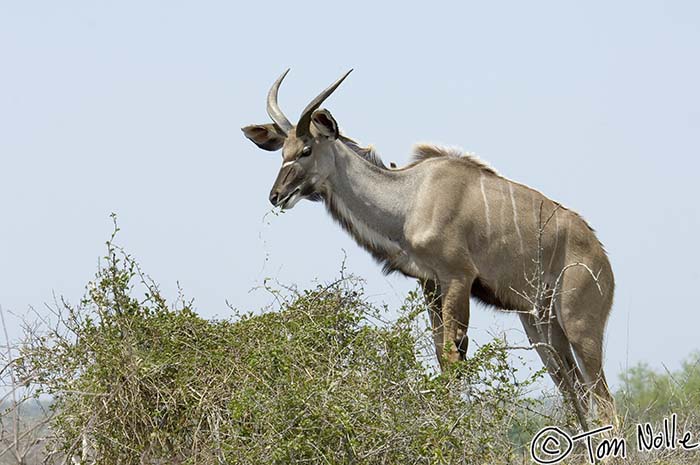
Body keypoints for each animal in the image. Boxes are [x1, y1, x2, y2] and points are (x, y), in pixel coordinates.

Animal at [243, 70, 616, 424]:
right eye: (283, 152)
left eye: (306, 150)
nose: (276, 195)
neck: (410, 198)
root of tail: (602, 259)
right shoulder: (430, 284)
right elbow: (440, 356)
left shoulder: (457, 278)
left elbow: (452, 358)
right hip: (540, 326)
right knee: (575, 393)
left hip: (578, 325)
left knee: (603, 398)